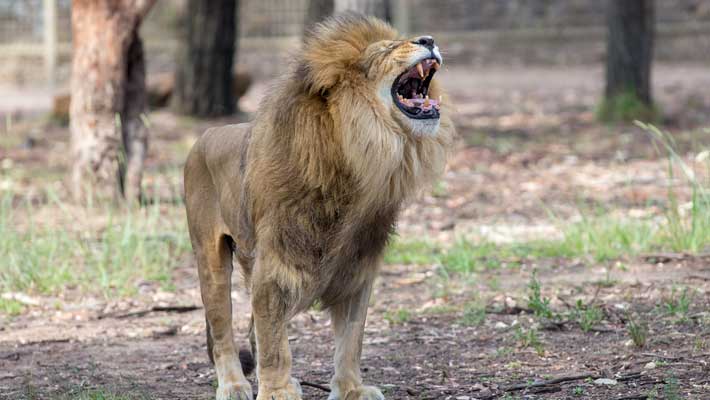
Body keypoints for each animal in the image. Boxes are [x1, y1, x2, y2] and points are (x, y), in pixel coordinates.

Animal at [185, 13, 456, 400]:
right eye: (386, 49)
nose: (429, 39)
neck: (359, 157)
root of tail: (204, 136)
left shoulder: (357, 267)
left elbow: (351, 340)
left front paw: (351, 389)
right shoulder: (276, 265)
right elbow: (274, 343)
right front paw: (277, 392)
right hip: (210, 260)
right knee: (222, 329)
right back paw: (234, 385)